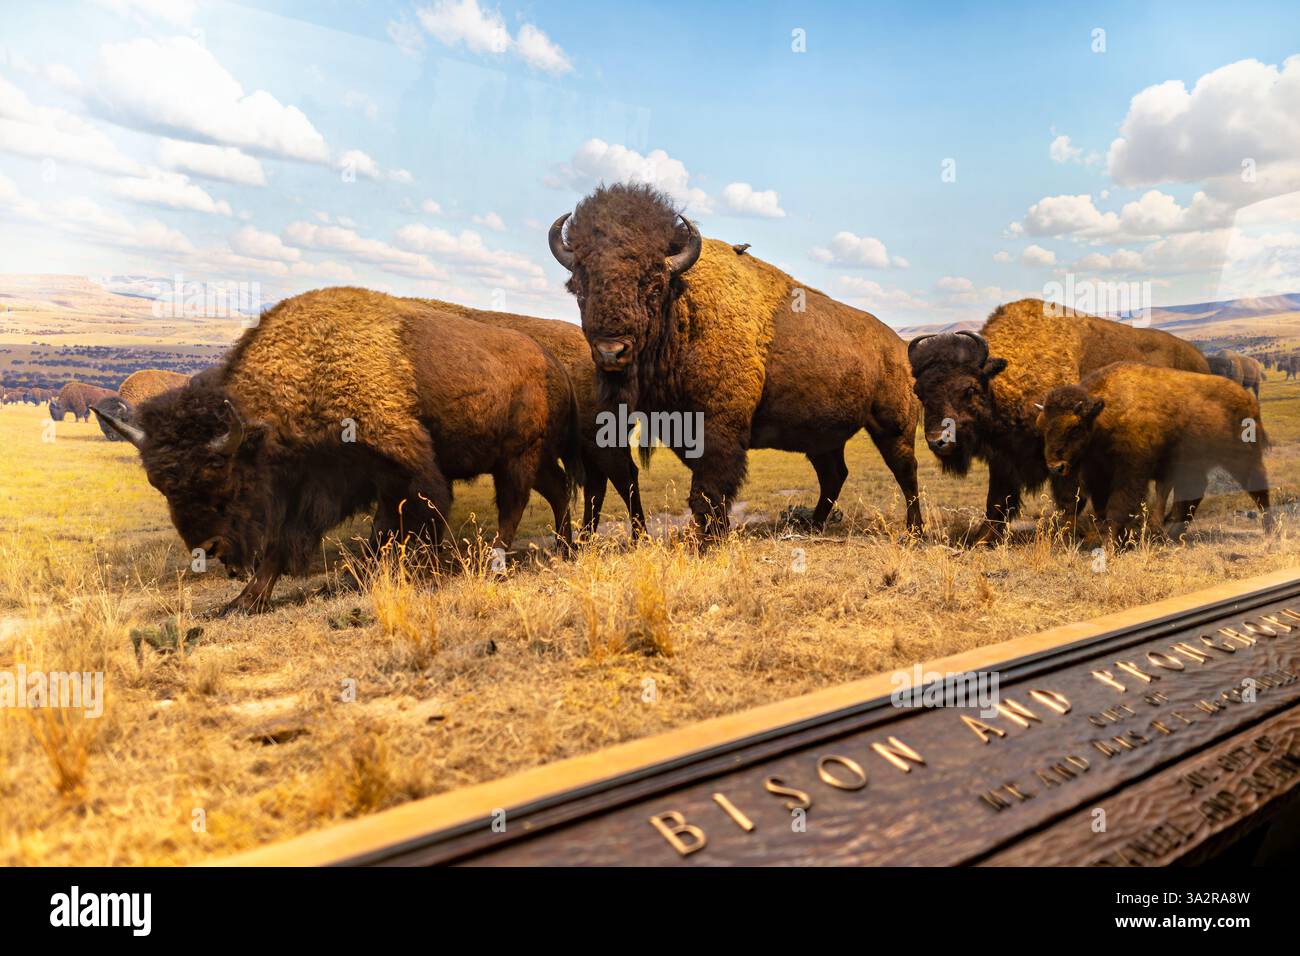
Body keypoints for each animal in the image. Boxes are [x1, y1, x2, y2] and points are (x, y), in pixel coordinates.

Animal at [95, 288, 583, 615]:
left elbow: (417, 518)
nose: (209, 548)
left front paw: (411, 572)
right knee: (557, 491)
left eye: (224, 479)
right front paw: (244, 601)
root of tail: (552, 363)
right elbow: (288, 542)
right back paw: (565, 548)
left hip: (518, 457)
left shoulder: (405, 466)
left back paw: (495, 562)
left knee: (514, 507)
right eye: (161, 486)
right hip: (530, 459)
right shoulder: (326, 483)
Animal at [549, 183, 921, 539]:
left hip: (892, 425)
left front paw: (710, 540)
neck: (681, 304)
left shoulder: (719, 427)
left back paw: (914, 531)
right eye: (580, 287)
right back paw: (814, 525)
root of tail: (897, 346)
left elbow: (709, 489)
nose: (611, 351)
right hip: (823, 438)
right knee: (834, 474)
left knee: (906, 471)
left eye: (652, 285)